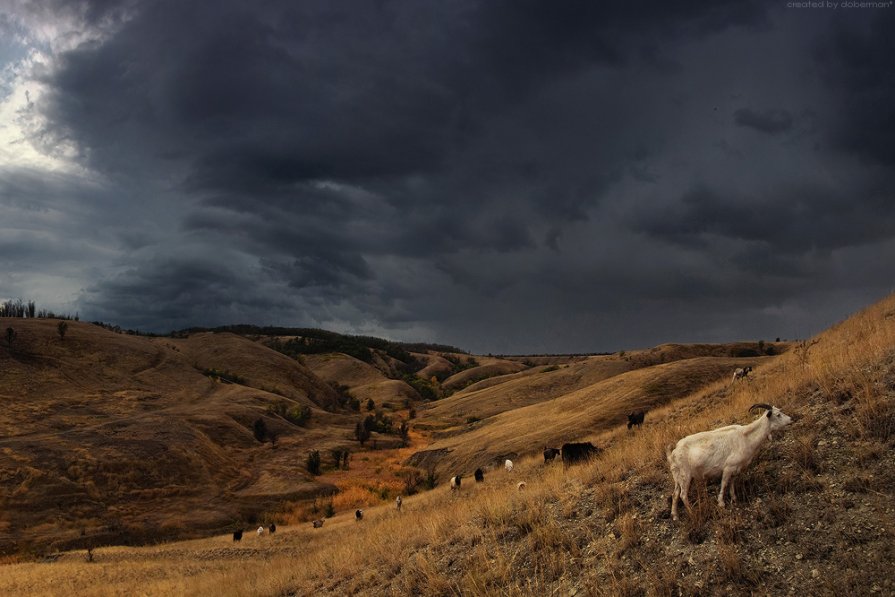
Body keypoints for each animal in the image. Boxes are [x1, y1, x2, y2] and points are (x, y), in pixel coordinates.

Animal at [668, 402, 796, 520]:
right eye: (778, 415)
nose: (791, 419)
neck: (746, 438)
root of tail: (673, 453)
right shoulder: (728, 467)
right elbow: (724, 484)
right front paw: (721, 503)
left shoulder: (736, 468)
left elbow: (732, 482)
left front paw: (734, 498)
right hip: (685, 475)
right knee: (683, 495)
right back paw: (692, 512)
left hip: (679, 477)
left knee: (675, 494)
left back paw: (675, 516)